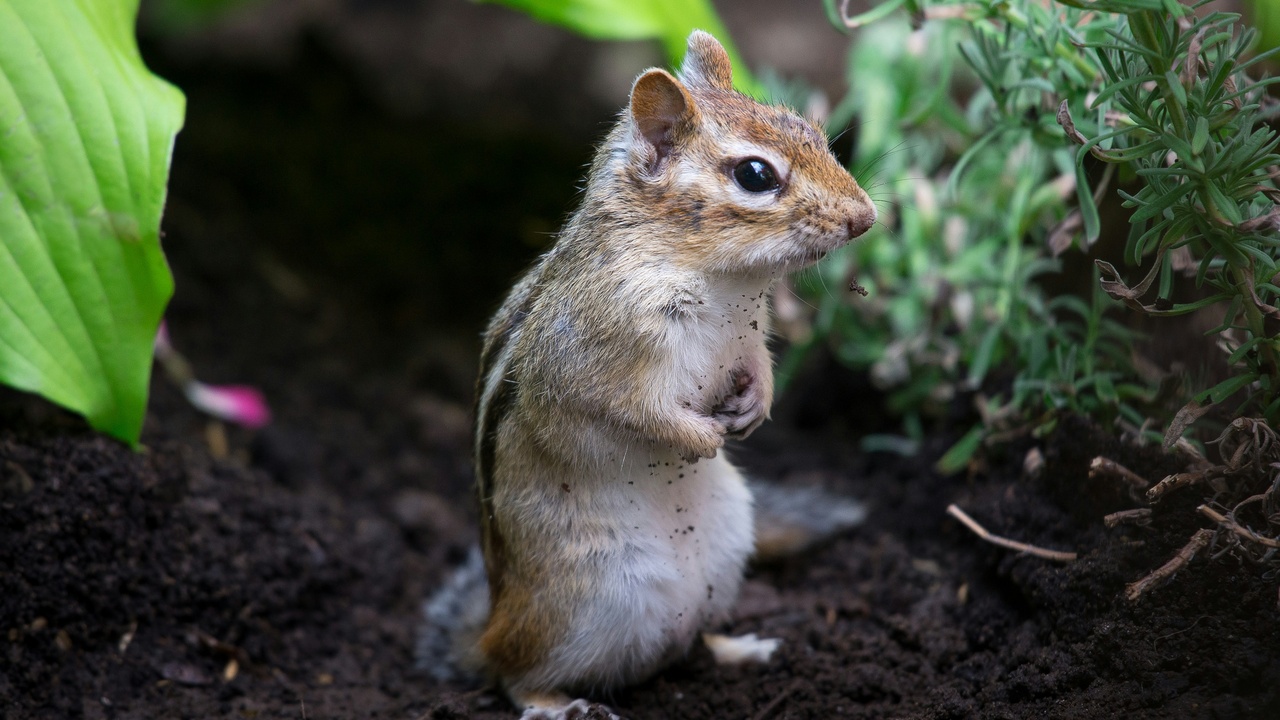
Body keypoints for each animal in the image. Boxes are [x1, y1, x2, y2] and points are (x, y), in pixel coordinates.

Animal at [418, 31, 877, 719]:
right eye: (755, 174)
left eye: (815, 133)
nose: (865, 217)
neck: (720, 281)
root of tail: (493, 620)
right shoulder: (602, 354)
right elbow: (636, 410)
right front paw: (701, 437)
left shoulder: (748, 336)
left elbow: (759, 369)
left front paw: (754, 408)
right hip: (584, 601)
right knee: (513, 673)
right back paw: (560, 704)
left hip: (725, 555)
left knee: (690, 641)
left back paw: (743, 649)